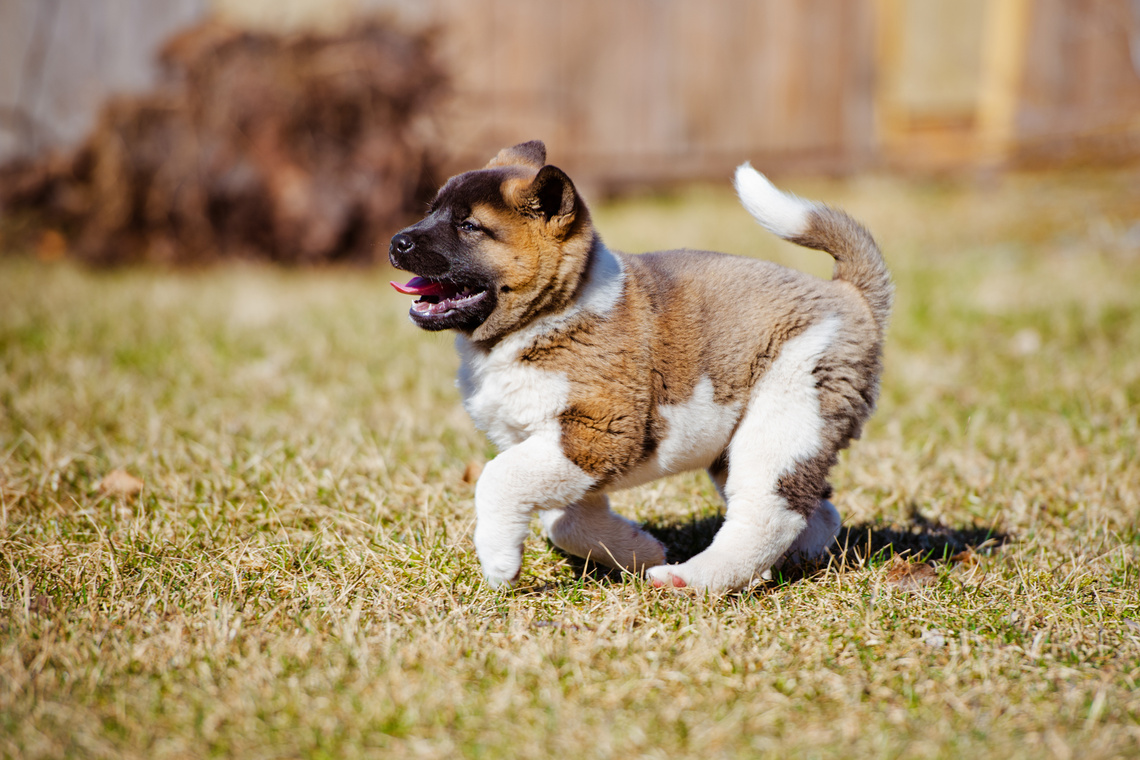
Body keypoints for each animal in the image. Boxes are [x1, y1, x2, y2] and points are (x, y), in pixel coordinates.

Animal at [389, 142, 889, 592]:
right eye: (432, 211)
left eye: (469, 226)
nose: (397, 241)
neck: (549, 316)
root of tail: (848, 295)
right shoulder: (556, 449)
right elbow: (564, 520)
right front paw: (638, 549)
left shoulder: (597, 434)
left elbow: (499, 479)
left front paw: (498, 563)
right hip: (745, 443)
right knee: (816, 510)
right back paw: (778, 567)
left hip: (787, 414)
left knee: (769, 513)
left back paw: (691, 580)